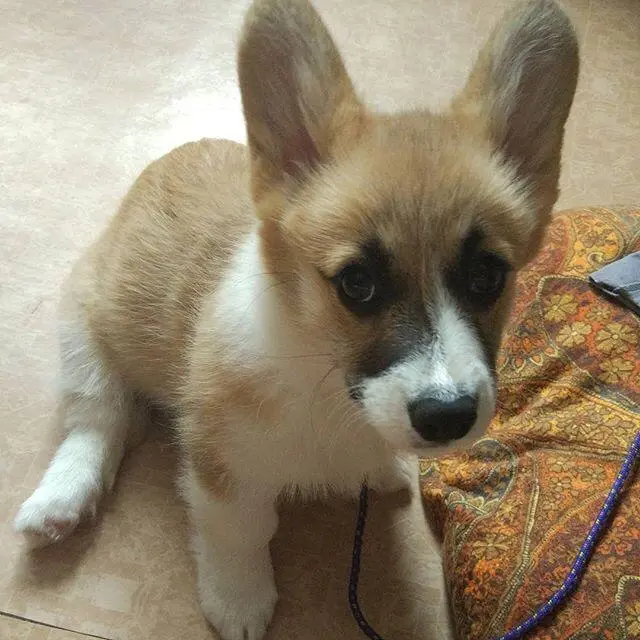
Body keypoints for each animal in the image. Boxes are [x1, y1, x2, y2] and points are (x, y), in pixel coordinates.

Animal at [14, 0, 578, 638]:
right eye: (357, 283)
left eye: (488, 276)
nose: (447, 416)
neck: (322, 375)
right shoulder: (222, 467)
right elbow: (242, 532)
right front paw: (239, 600)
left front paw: (377, 468)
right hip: (82, 332)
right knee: (99, 420)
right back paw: (60, 500)